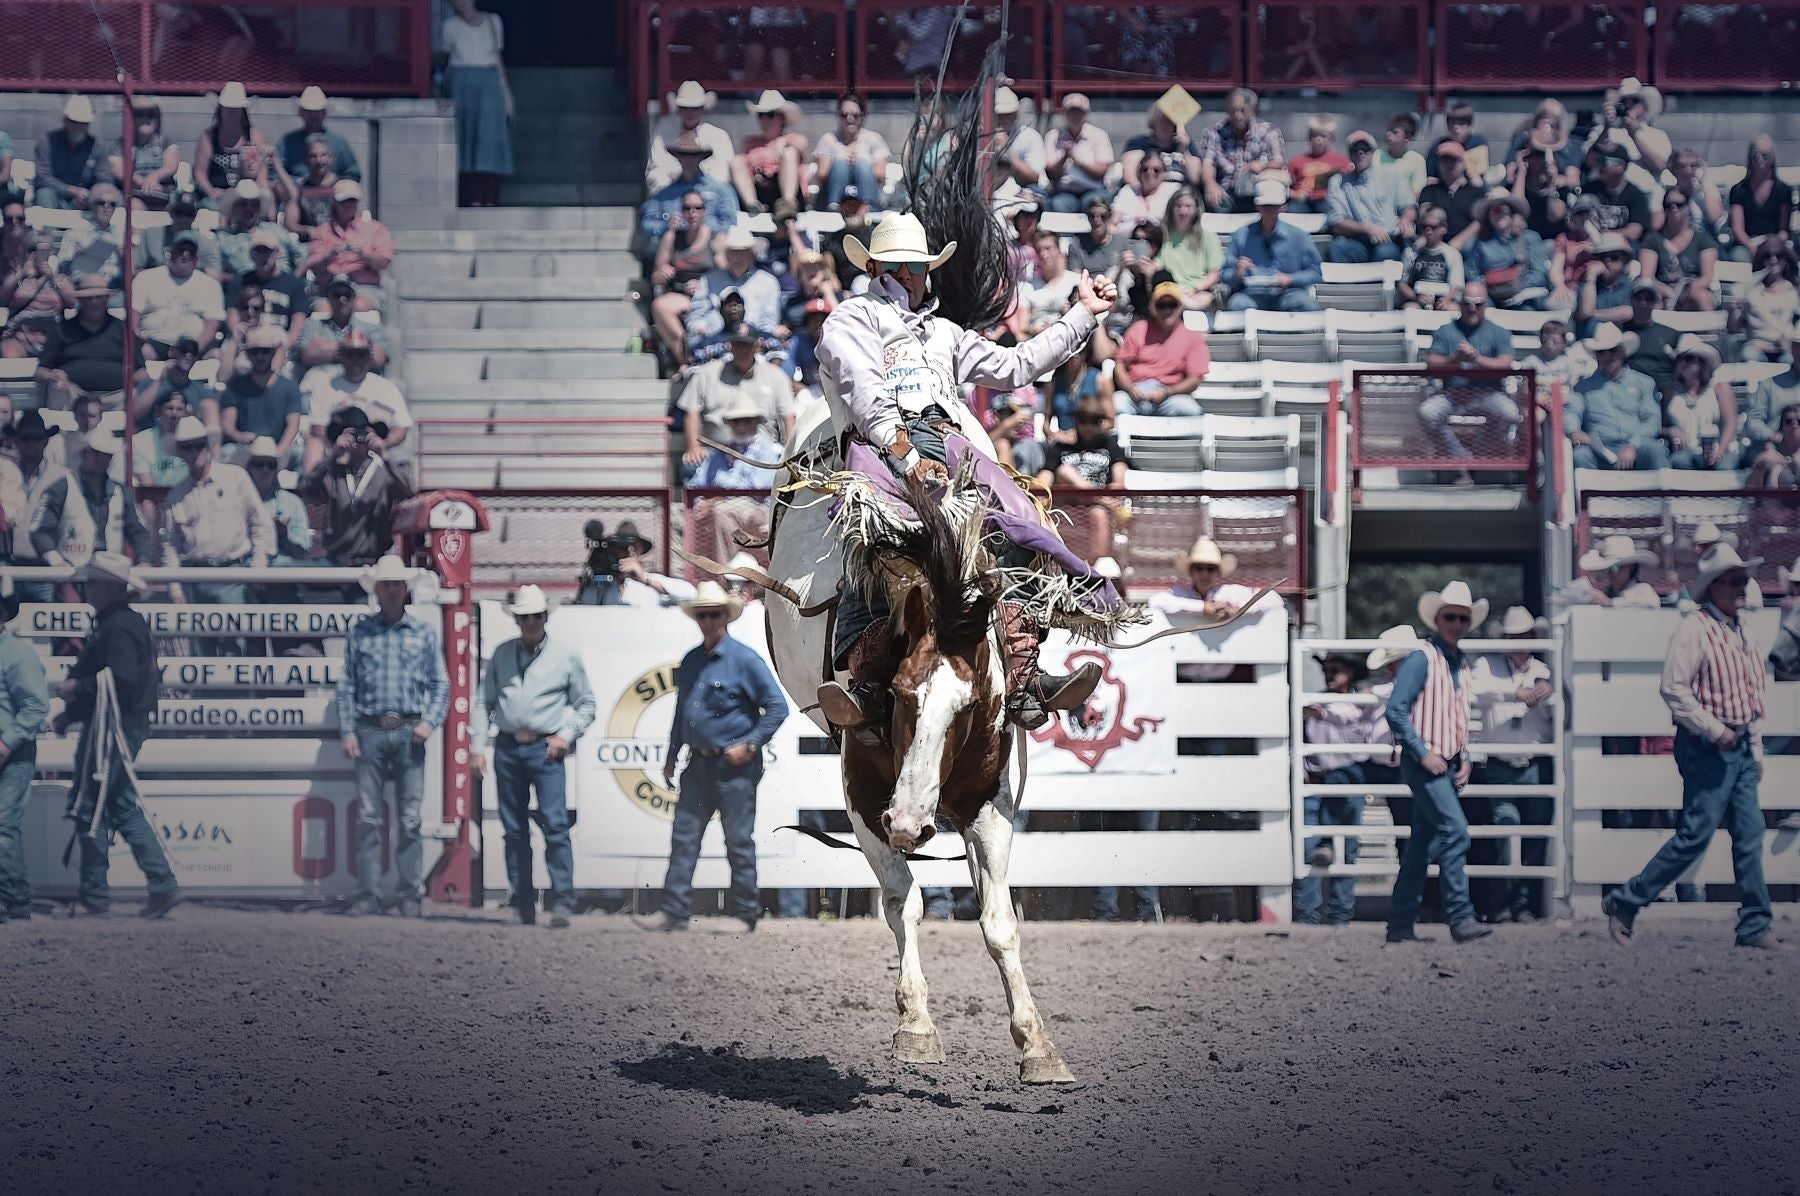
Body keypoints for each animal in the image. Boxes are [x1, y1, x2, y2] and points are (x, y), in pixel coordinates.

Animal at [838, 475, 1072, 1080]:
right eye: (898, 693)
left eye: (966, 708)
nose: (911, 825)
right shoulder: (864, 803)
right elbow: (904, 900)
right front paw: (916, 1026)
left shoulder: (990, 806)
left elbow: (998, 922)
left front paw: (1037, 1045)